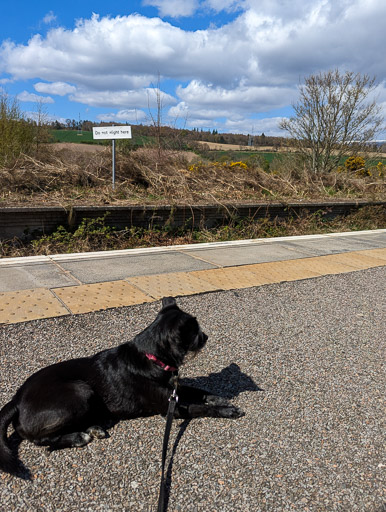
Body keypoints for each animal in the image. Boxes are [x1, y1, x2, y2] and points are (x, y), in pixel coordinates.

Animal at [0, 298, 243, 474]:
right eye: (195, 330)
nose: (207, 336)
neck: (152, 357)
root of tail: (16, 399)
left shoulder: (175, 389)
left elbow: (200, 391)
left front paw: (220, 397)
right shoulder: (172, 408)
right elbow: (200, 407)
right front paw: (227, 410)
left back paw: (93, 428)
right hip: (81, 391)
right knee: (40, 440)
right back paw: (78, 437)